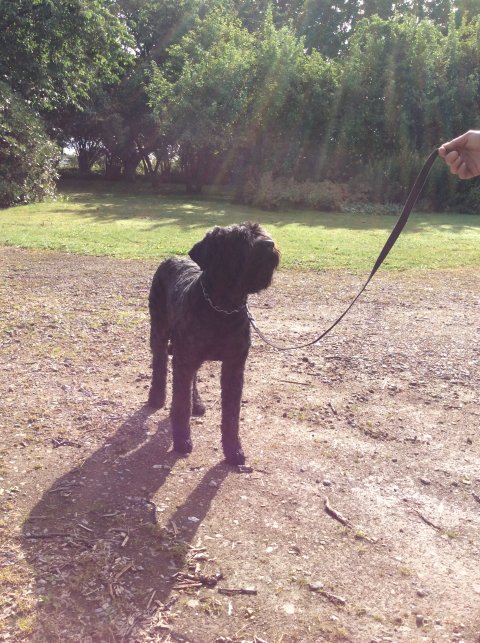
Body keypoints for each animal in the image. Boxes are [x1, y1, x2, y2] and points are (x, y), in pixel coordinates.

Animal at [148, 222, 280, 465]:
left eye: (259, 231)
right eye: (239, 238)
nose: (269, 244)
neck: (223, 308)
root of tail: (170, 259)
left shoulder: (234, 366)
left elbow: (232, 414)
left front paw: (233, 450)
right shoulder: (185, 357)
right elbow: (180, 404)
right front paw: (182, 441)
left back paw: (197, 403)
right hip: (159, 332)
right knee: (159, 363)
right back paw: (156, 397)